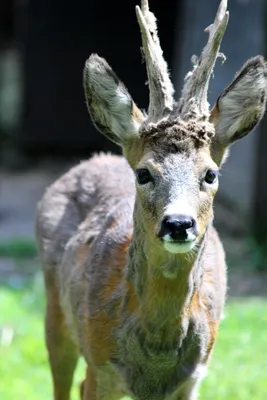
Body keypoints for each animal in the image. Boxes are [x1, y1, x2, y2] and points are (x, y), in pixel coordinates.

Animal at [35, 0, 267, 400]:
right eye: (144, 173)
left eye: (210, 174)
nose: (178, 223)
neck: (157, 351)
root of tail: (96, 158)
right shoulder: (102, 367)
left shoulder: (192, 379)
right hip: (56, 310)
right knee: (63, 382)